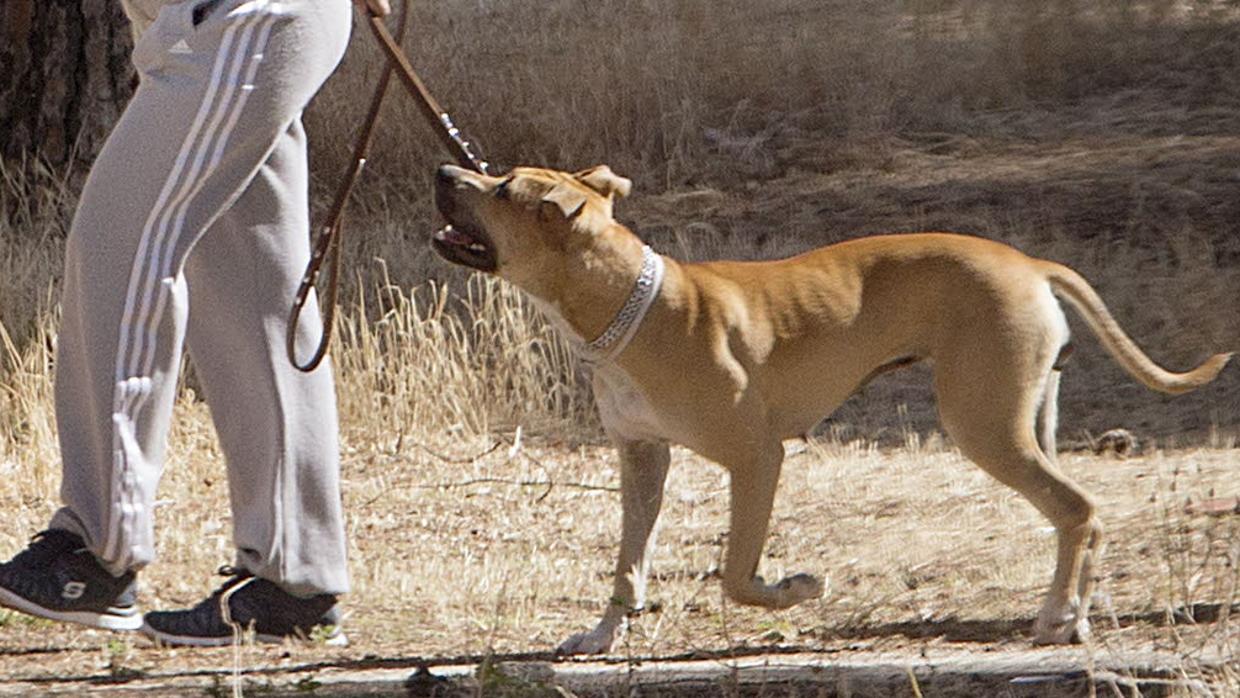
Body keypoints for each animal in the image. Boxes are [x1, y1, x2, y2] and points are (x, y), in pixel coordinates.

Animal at [431, 161, 1225, 654]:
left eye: (502, 188)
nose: (443, 172)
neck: (630, 303)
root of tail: (1030, 264)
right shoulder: (642, 459)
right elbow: (629, 563)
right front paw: (603, 637)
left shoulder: (757, 458)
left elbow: (736, 575)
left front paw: (796, 588)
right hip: (1027, 421)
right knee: (1075, 516)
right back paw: (1072, 611)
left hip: (985, 425)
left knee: (1078, 509)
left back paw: (1060, 618)